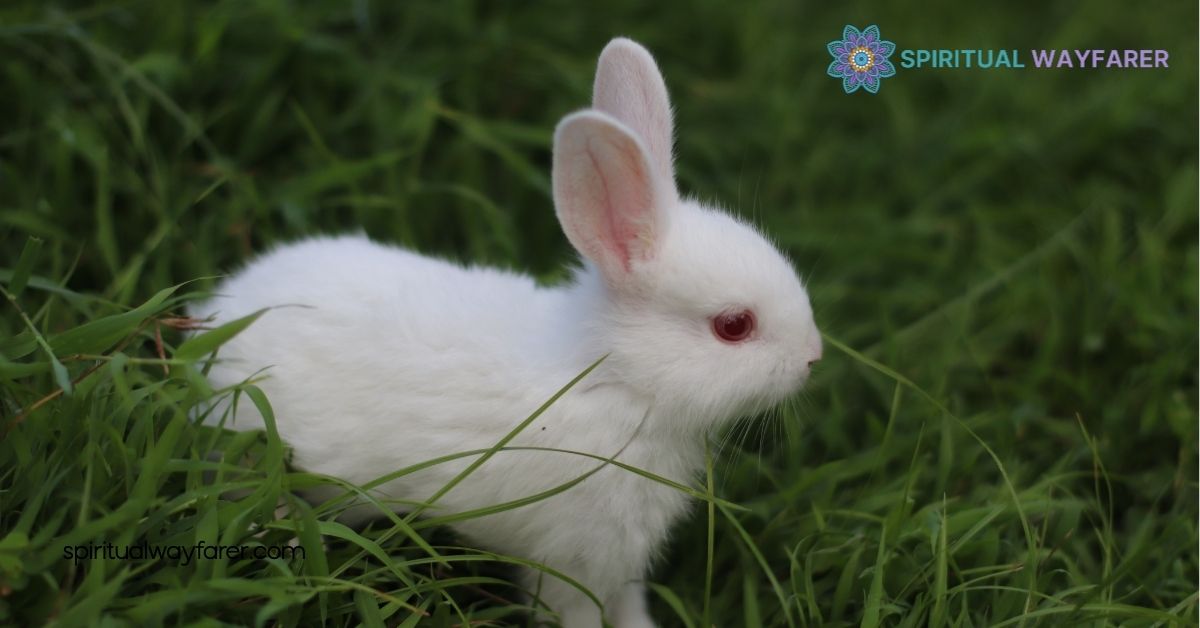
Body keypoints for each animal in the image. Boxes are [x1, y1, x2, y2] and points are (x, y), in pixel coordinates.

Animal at [191, 37, 822, 628]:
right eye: (733, 326)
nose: (813, 358)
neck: (614, 380)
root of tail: (216, 315)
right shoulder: (574, 559)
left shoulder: (618, 562)